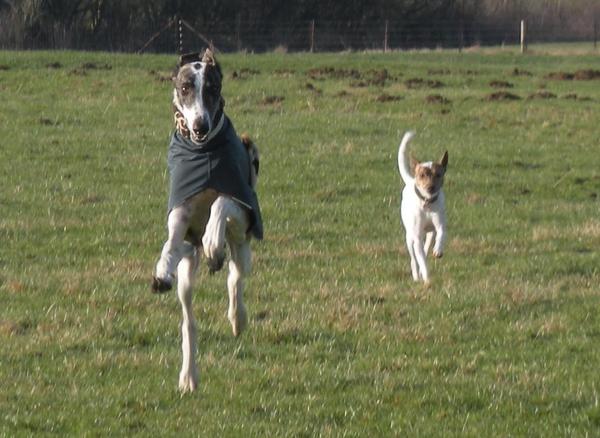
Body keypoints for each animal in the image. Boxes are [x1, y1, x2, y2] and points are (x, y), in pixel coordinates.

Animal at [396, 131, 448, 284]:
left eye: (438, 174)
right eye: (422, 175)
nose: (431, 187)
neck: (427, 205)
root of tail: (410, 180)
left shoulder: (440, 224)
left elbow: (441, 234)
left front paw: (438, 250)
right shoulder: (416, 237)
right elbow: (421, 260)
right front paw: (425, 277)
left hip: (429, 233)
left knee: (427, 245)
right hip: (409, 236)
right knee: (414, 258)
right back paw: (416, 275)